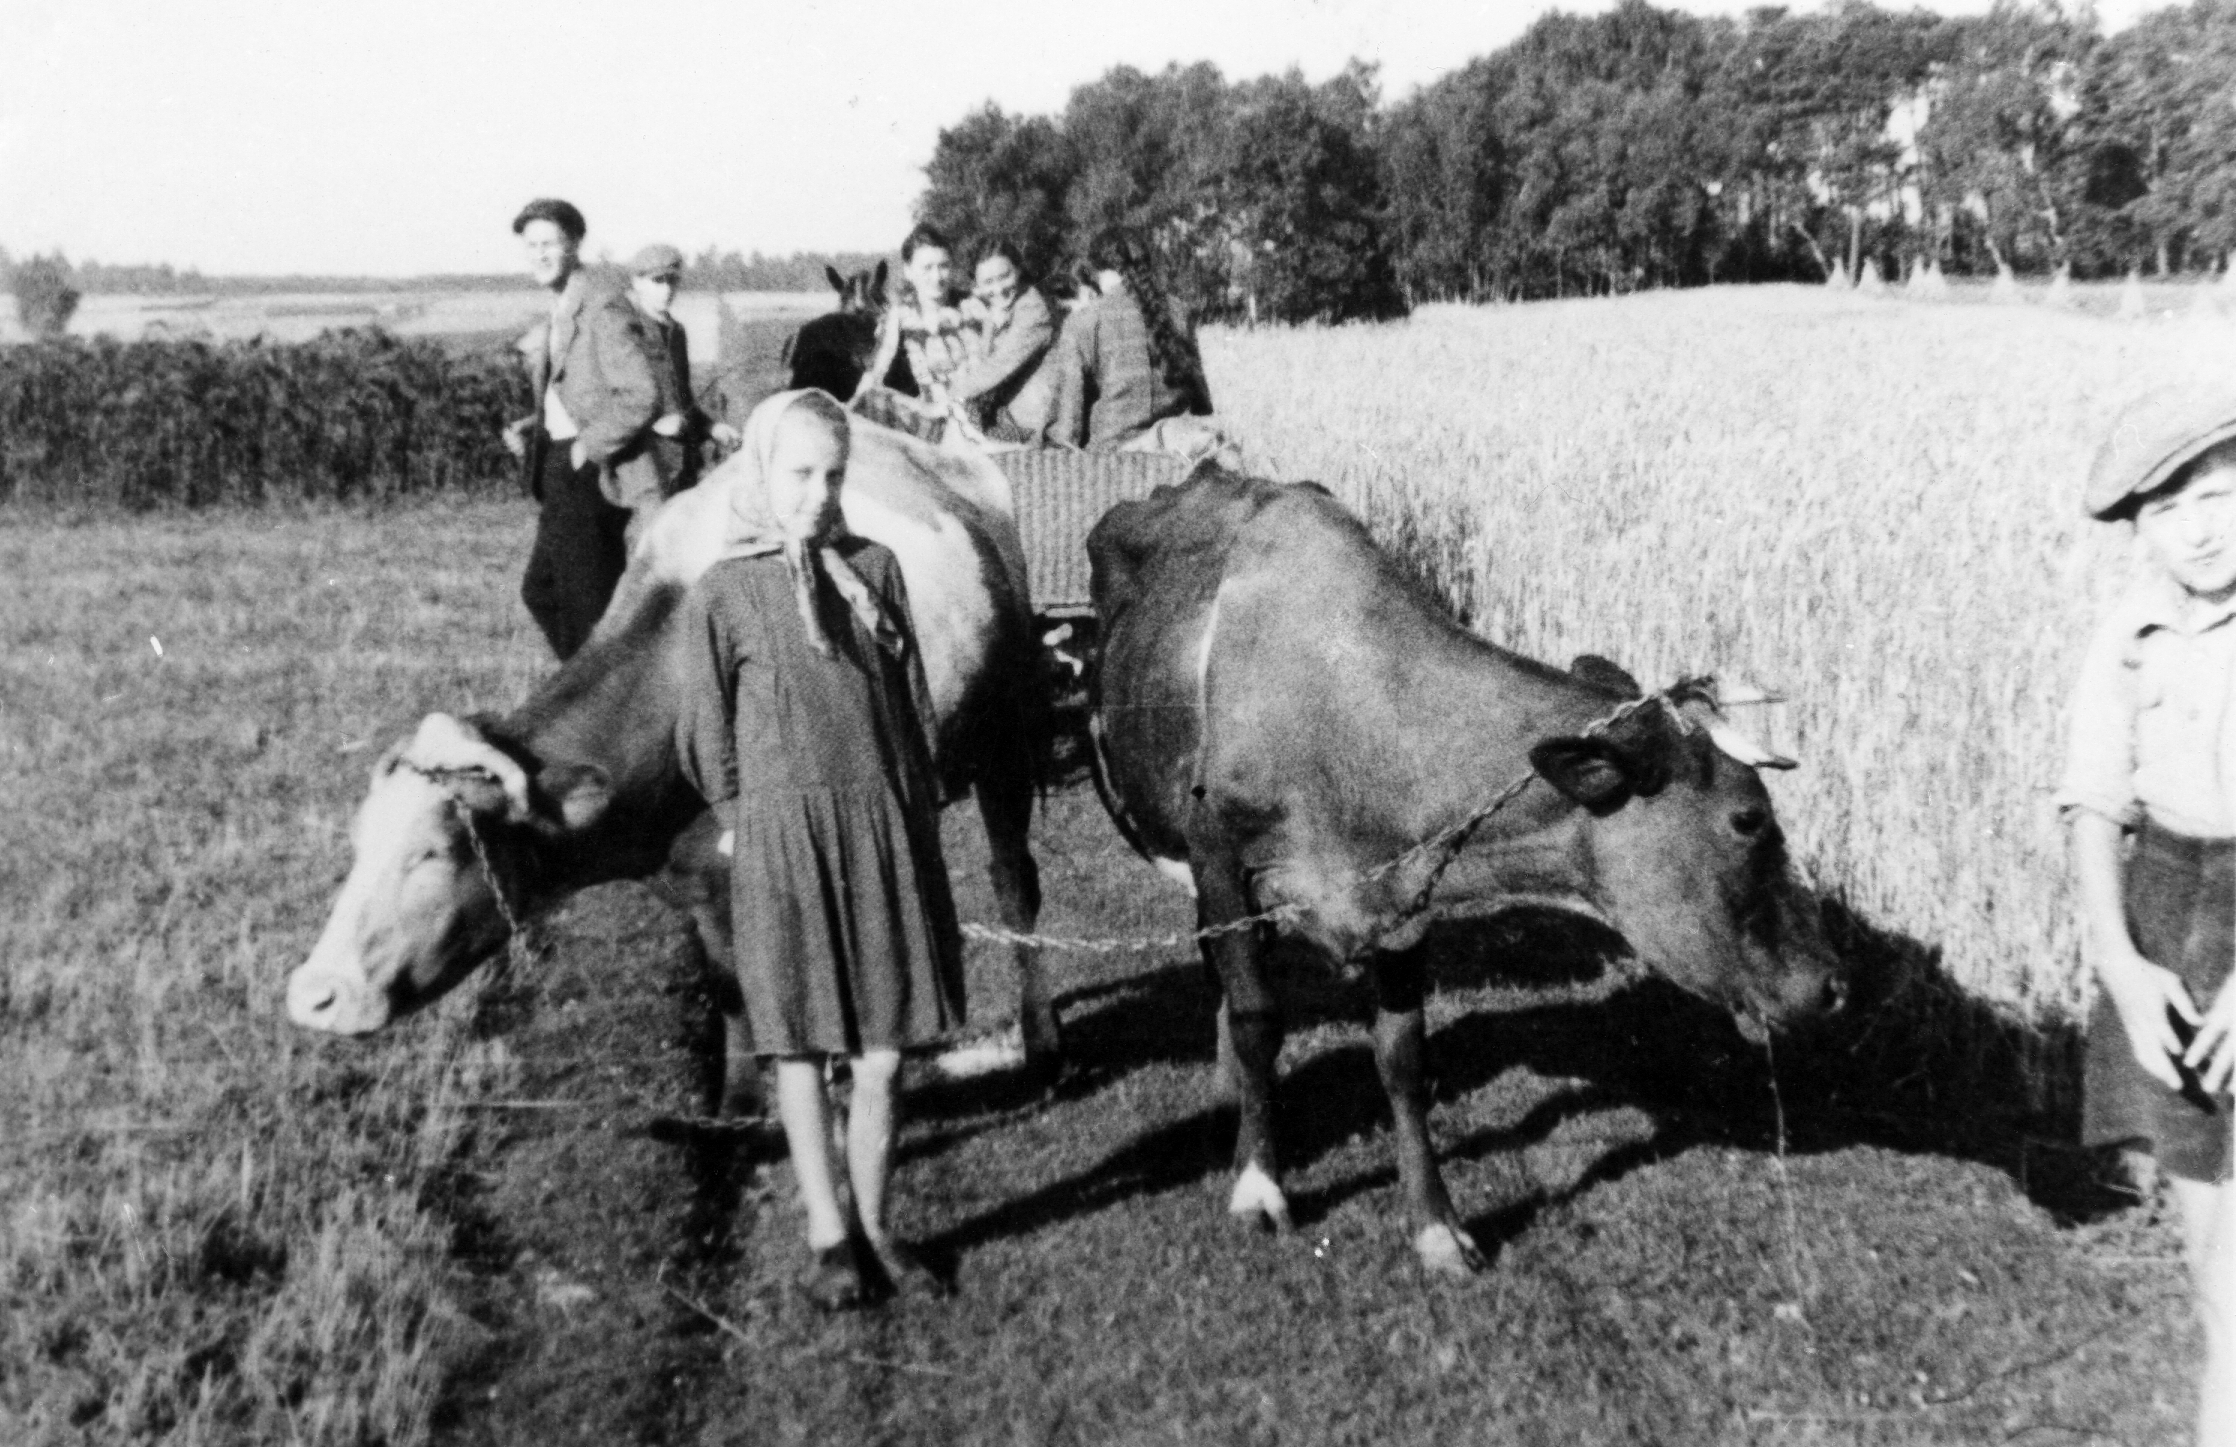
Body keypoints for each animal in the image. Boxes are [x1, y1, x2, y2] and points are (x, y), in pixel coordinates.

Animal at [283, 418, 1059, 1100]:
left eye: (435, 854)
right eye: (358, 844)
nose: (315, 994)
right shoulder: (698, 884)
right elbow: (733, 987)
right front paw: (741, 1099)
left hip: (1006, 741)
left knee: (1015, 882)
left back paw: (1041, 1039)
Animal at [1091, 469, 1842, 1270]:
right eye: (1749, 818)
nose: (1835, 985)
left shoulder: (1407, 892)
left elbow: (1402, 1056)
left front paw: (1436, 1226)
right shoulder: (1220, 857)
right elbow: (1260, 1016)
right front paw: (1258, 1186)